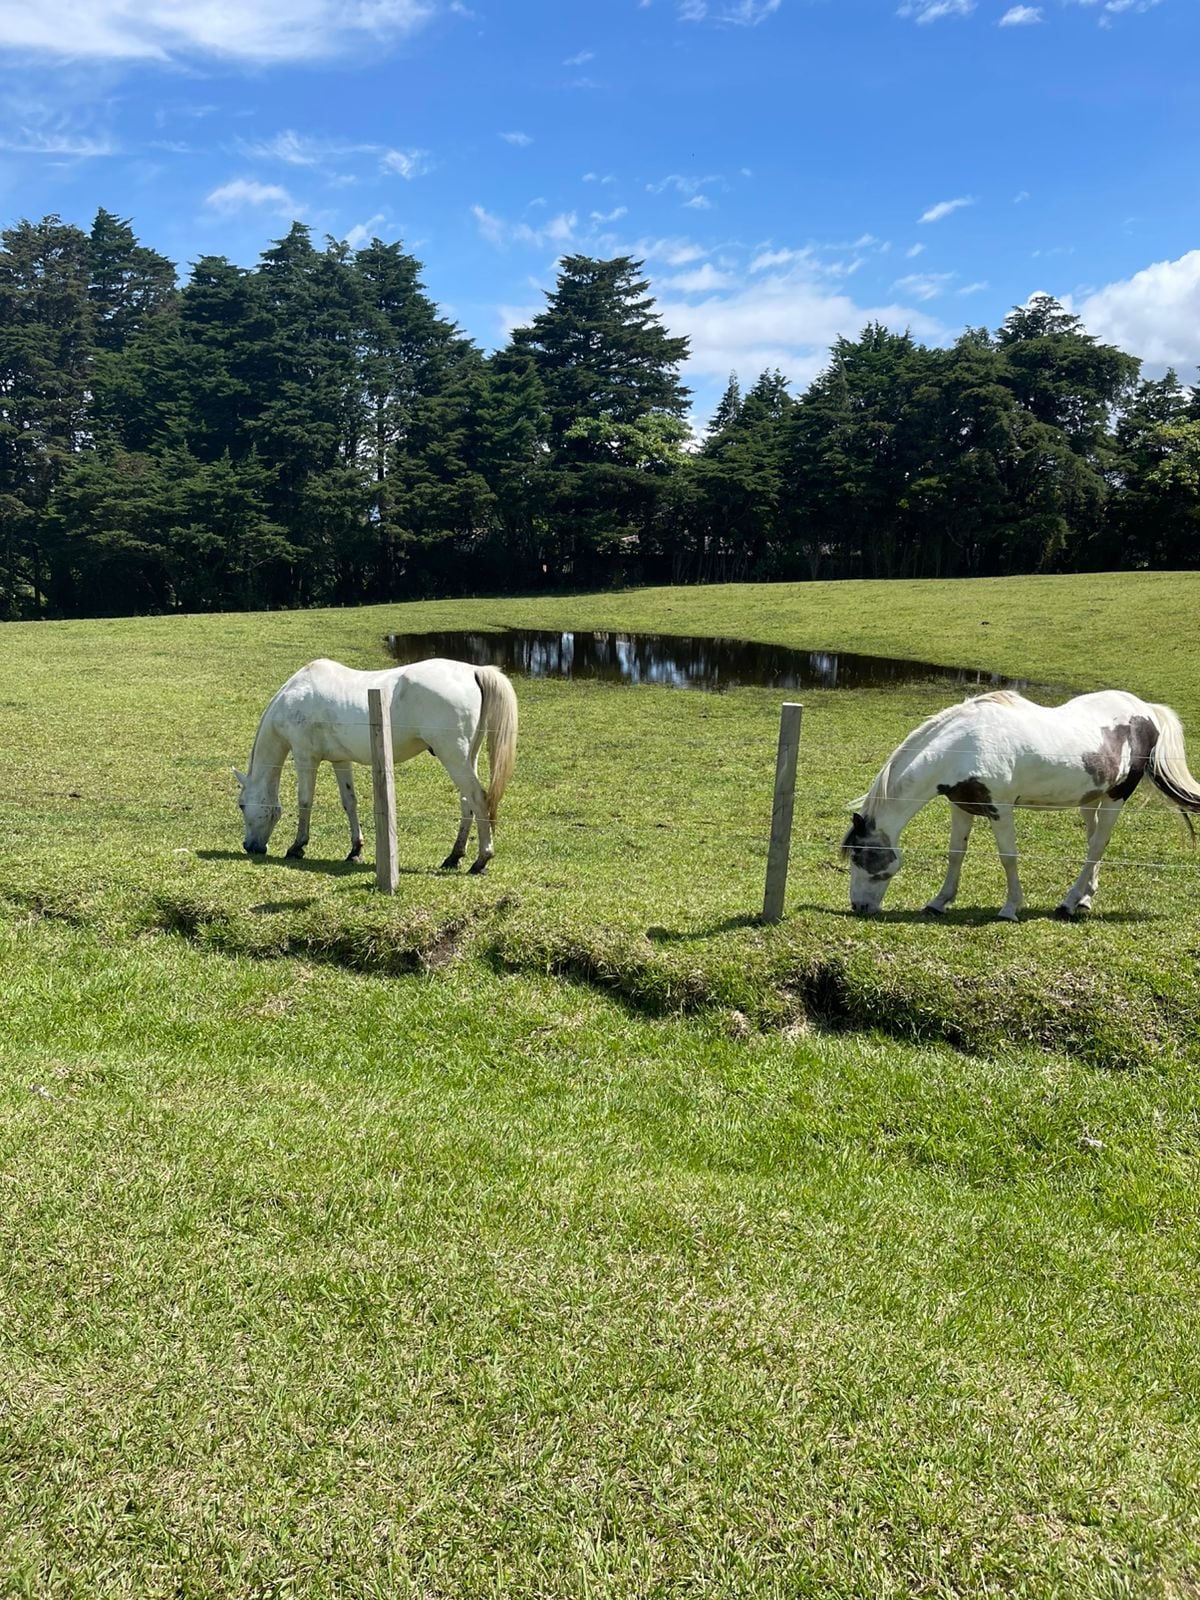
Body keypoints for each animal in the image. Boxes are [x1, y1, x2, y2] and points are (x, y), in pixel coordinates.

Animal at [234, 658, 518, 873]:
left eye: (241, 805)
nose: (250, 847)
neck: (295, 694)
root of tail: (473, 670)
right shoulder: (340, 760)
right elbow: (349, 802)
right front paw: (355, 850)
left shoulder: (305, 757)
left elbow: (305, 801)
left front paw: (297, 847)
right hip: (466, 757)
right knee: (467, 802)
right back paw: (454, 857)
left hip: (453, 756)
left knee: (478, 798)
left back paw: (481, 860)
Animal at [841, 689, 1200, 920]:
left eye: (860, 858)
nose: (859, 907)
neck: (965, 744)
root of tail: (1147, 710)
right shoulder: (960, 805)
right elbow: (956, 853)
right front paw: (939, 902)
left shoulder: (1000, 809)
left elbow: (1008, 857)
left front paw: (1011, 908)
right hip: (1091, 799)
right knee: (1095, 842)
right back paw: (1084, 899)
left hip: (1116, 797)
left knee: (1097, 845)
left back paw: (1068, 904)